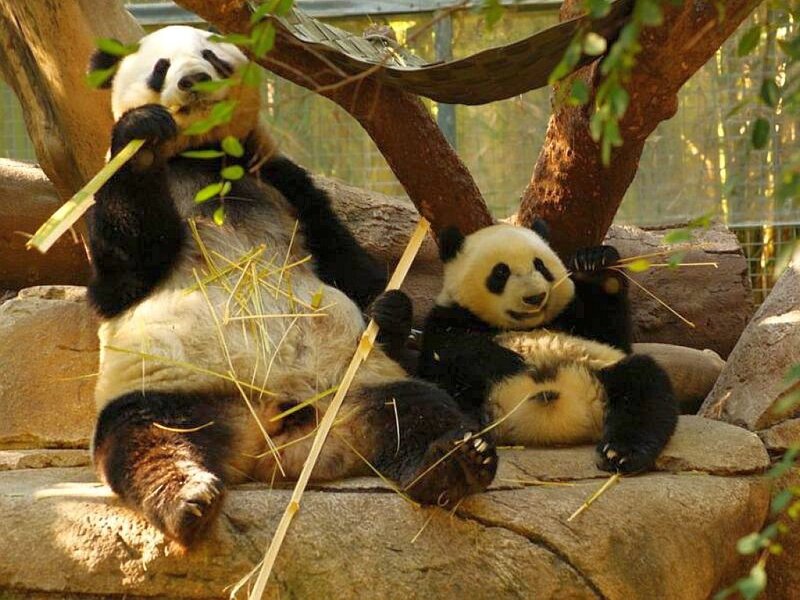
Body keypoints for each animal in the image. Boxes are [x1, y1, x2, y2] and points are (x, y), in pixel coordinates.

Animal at [86, 25, 496, 547]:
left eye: (211, 56)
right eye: (161, 67)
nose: (194, 79)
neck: (206, 161)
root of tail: (275, 447)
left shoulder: (285, 180)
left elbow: (343, 258)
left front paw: (390, 313)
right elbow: (121, 274)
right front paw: (142, 132)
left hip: (354, 385)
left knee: (417, 409)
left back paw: (455, 464)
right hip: (169, 389)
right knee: (145, 438)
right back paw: (187, 499)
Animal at [371, 221, 678, 473]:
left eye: (541, 266)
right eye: (501, 272)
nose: (535, 297)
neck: (521, 326)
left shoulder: (575, 320)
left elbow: (611, 335)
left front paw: (596, 265)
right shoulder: (447, 317)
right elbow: (445, 354)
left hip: (600, 372)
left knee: (643, 385)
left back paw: (621, 453)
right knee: (429, 399)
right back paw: (466, 453)